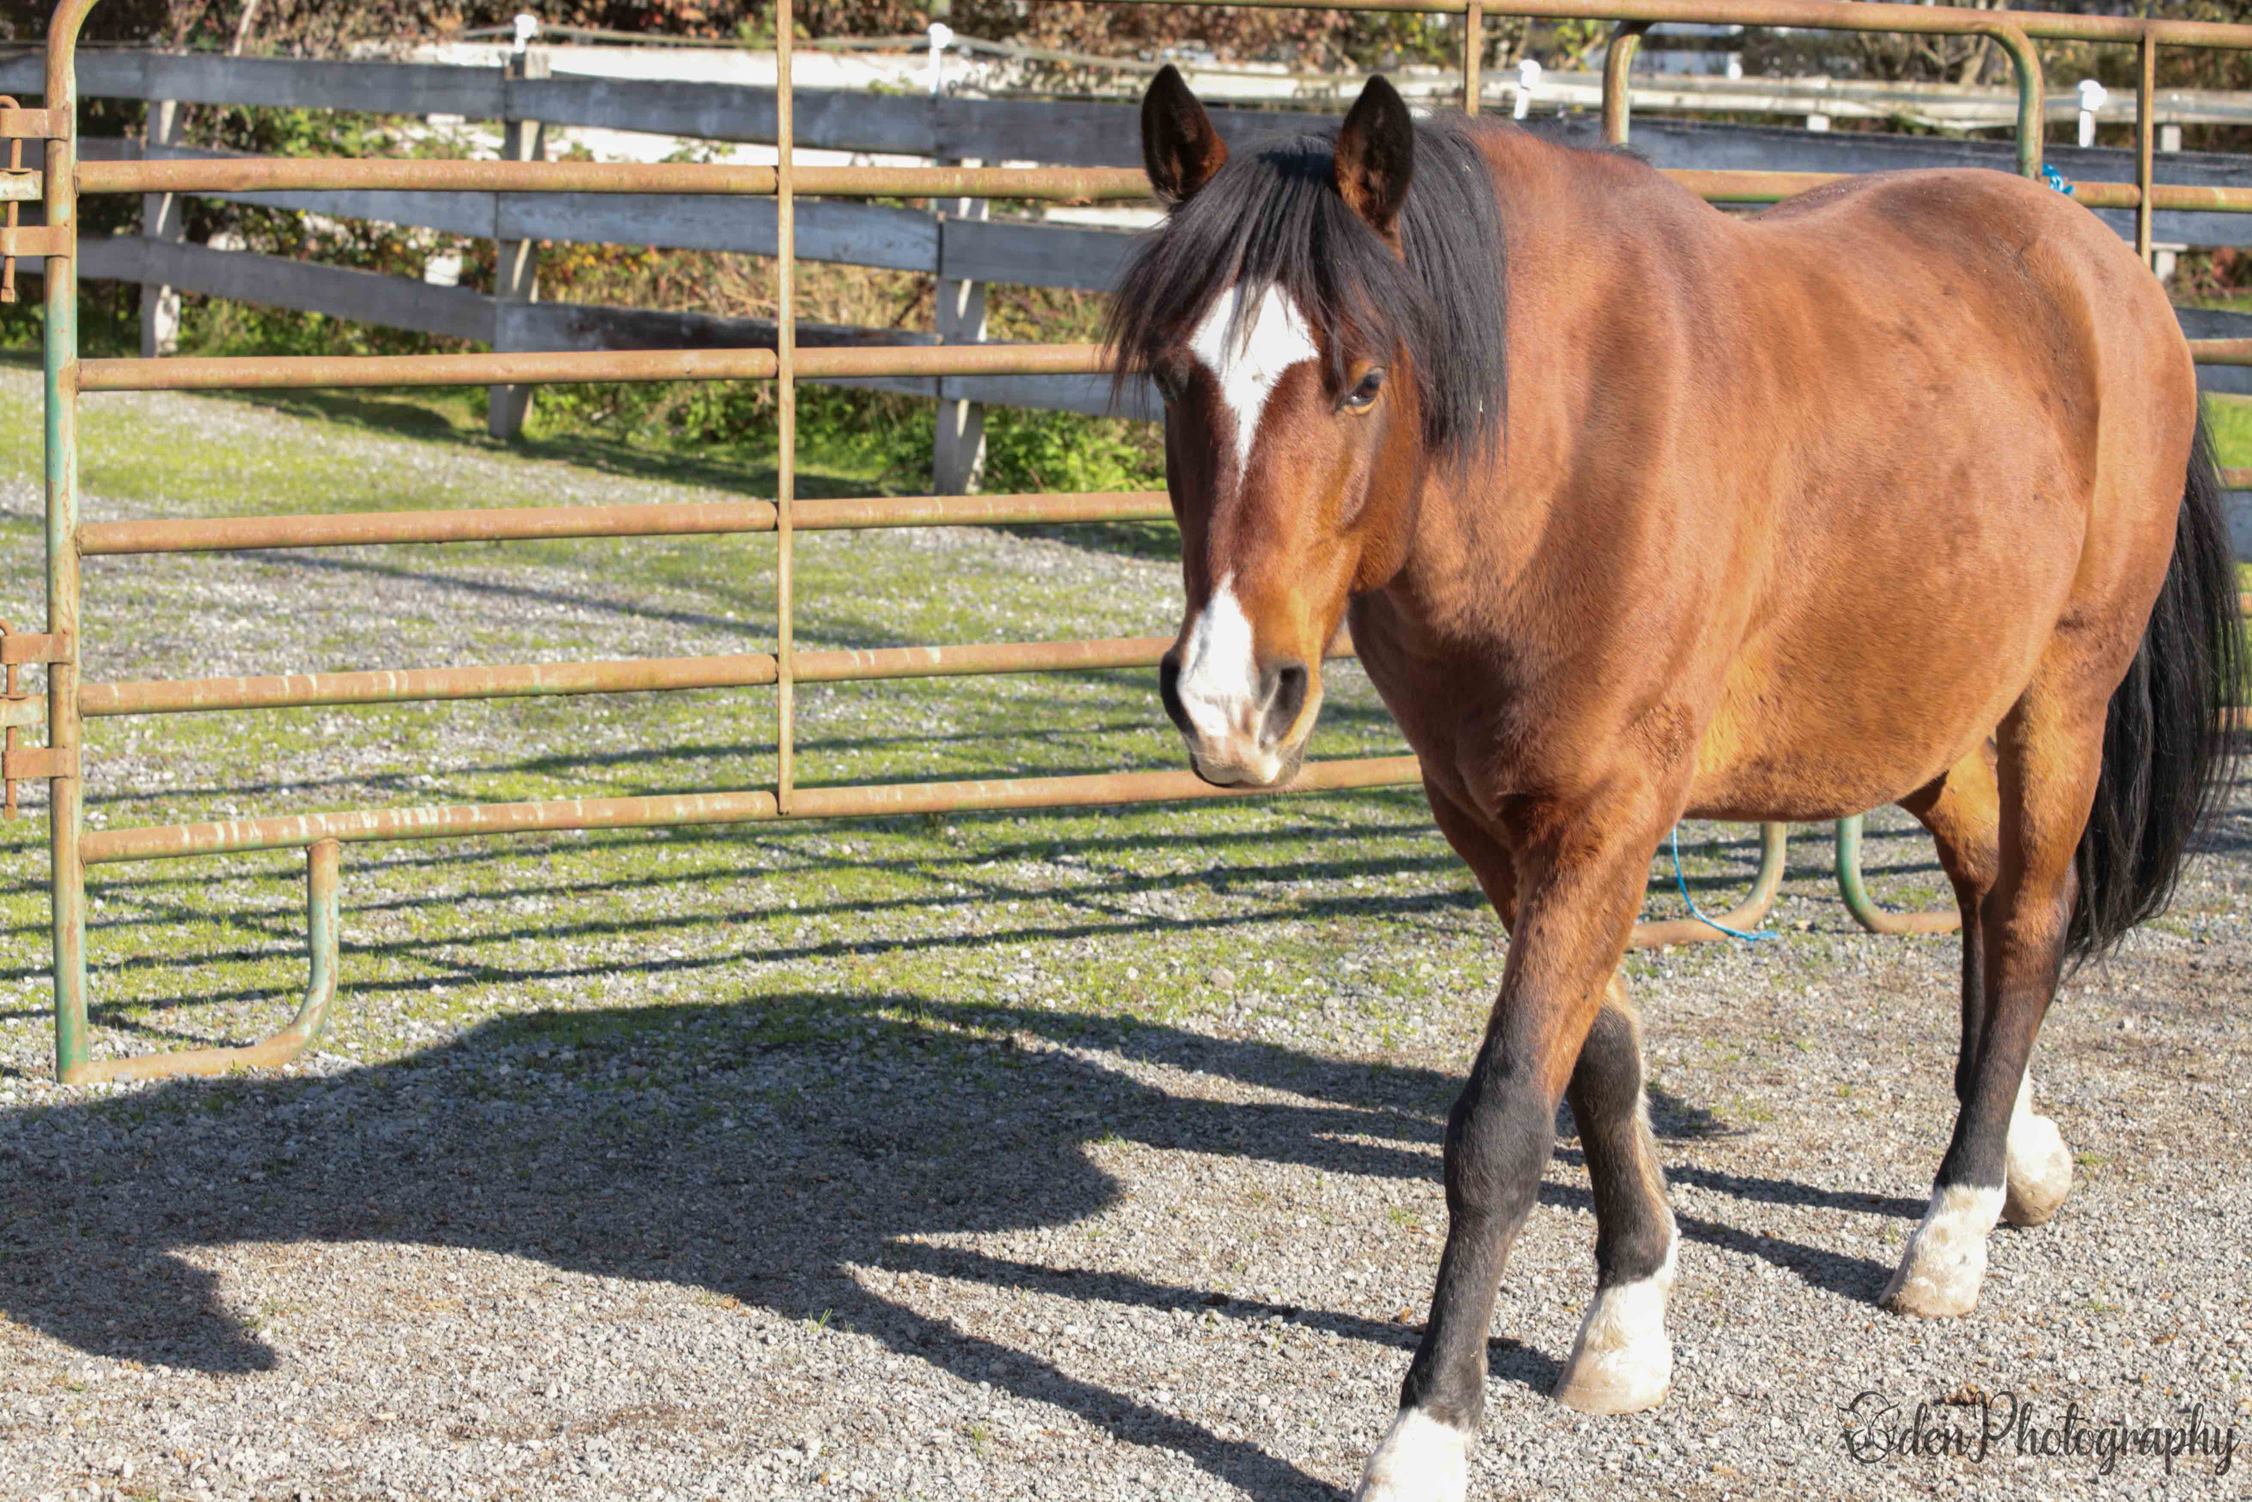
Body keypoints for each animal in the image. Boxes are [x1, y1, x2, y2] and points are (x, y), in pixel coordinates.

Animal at [1103, 64, 2233, 1495]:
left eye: (1360, 382)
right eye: (1173, 377)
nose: (1227, 696)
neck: (1554, 451)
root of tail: (2099, 262)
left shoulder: (1607, 817)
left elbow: (1502, 1122)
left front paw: (1426, 1431)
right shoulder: (1490, 820)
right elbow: (1599, 1060)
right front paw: (1627, 1315)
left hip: (2059, 691)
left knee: (2029, 918)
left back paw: (1951, 1228)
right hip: (1920, 706)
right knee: (1985, 889)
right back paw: (2018, 1150)